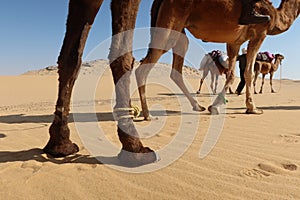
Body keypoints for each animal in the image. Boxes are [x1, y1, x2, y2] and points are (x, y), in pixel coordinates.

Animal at [136, 0, 300, 117]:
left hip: (179, 30)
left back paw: (197, 106)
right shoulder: (260, 33)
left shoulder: (234, 41)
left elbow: (232, 74)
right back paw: (147, 114)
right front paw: (252, 108)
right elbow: (248, 73)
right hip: (171, 21)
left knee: (176, 67)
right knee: (143, 67)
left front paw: (214, 106)